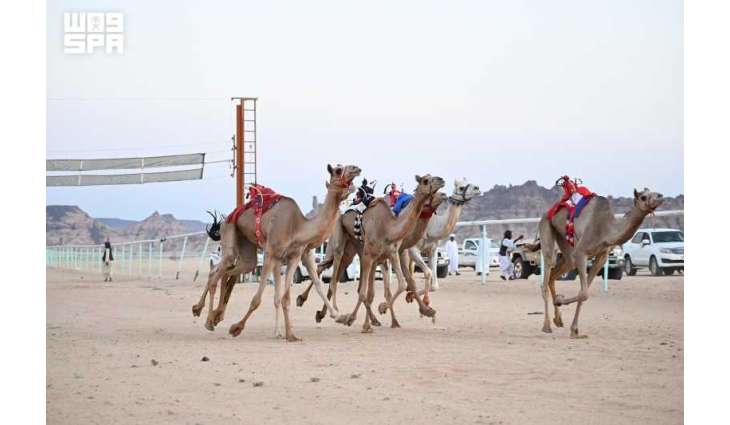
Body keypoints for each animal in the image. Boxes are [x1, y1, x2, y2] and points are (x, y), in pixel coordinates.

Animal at [191, 164, 361, 342]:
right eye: (338, 170)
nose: (356, 168)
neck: (297, 227)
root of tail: (225, 219)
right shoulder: (271, 254)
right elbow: (258, 299)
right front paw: (237, 328)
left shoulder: (295, 256)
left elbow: (292, 294)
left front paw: (292, 333)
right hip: (230, 230)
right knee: (216, 273)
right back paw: (207, 318)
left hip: (247, 249)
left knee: (230, 271)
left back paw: (212, 314)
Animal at [299, 174, 445, 332]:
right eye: (426, 180)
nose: (443, 185)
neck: (389, 226)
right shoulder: (375, 256)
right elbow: (368, 292)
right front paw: (362, 320)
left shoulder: (391, 253)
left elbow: (401, 284)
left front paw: (423, 311)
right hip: (338, 239)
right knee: (332, 277)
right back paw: (329, 311)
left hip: (353, 249)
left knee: (330, 271)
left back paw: (320, 311)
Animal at [531, 187, 664, 338]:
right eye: (643, 197)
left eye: (654, 192)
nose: (660, 196)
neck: (606, 231)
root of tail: (546, 214)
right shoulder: (581, 252)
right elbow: (584, 293)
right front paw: (560, 301)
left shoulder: (602, 256)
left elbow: (583, 292)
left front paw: (574, 330)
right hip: (547, 229)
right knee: (547, 273)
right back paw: (546, 326)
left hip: (565, 244)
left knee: (556, 273)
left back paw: (558, 320)